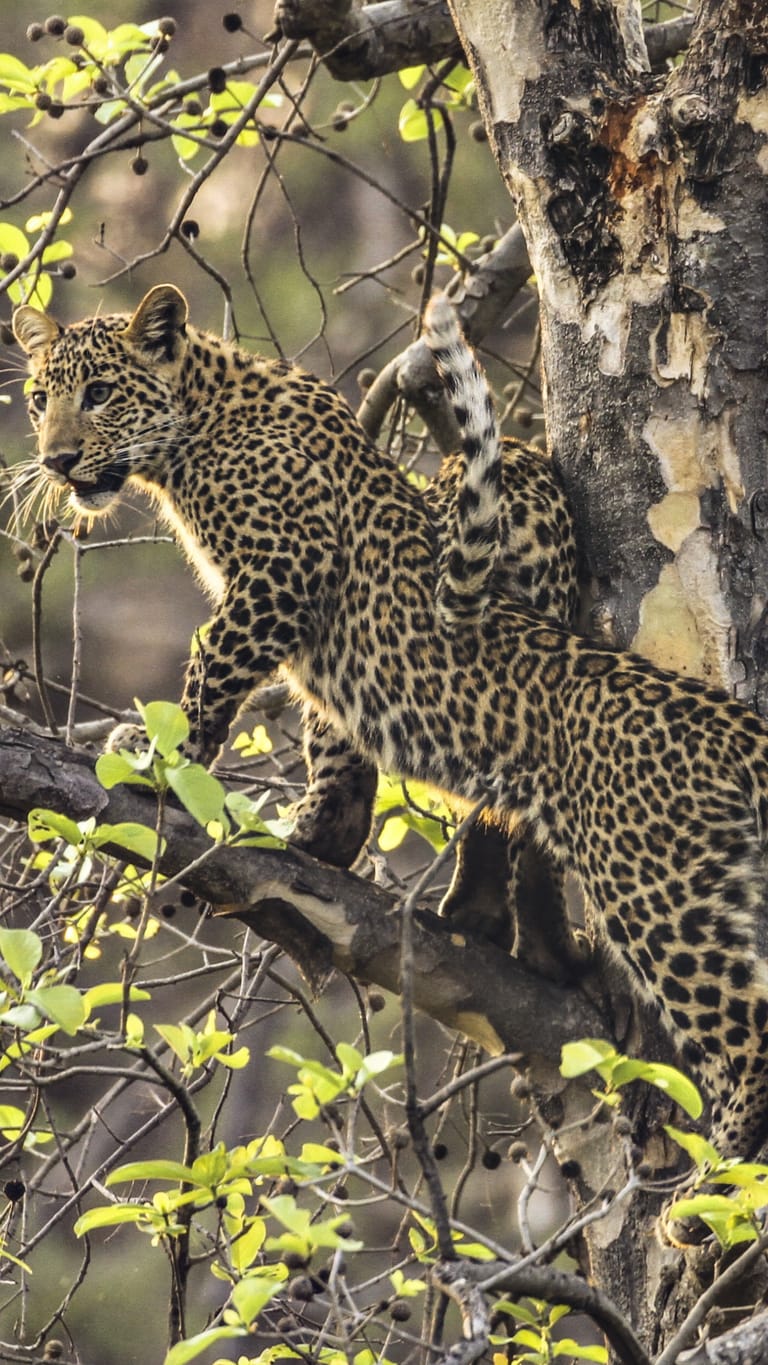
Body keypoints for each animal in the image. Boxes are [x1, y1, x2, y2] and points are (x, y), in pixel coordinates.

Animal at [12, 283, 768, 1163]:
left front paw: (160, 758)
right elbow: (329, 727)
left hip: (658, 890)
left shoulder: (280, 571)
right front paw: (320, 832)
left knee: (743, 1027)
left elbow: (211, 663)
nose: (56, 461)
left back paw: (718, 1170)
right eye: (40, 400)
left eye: (100, 393)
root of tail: (728, 723)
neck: (195, 428)